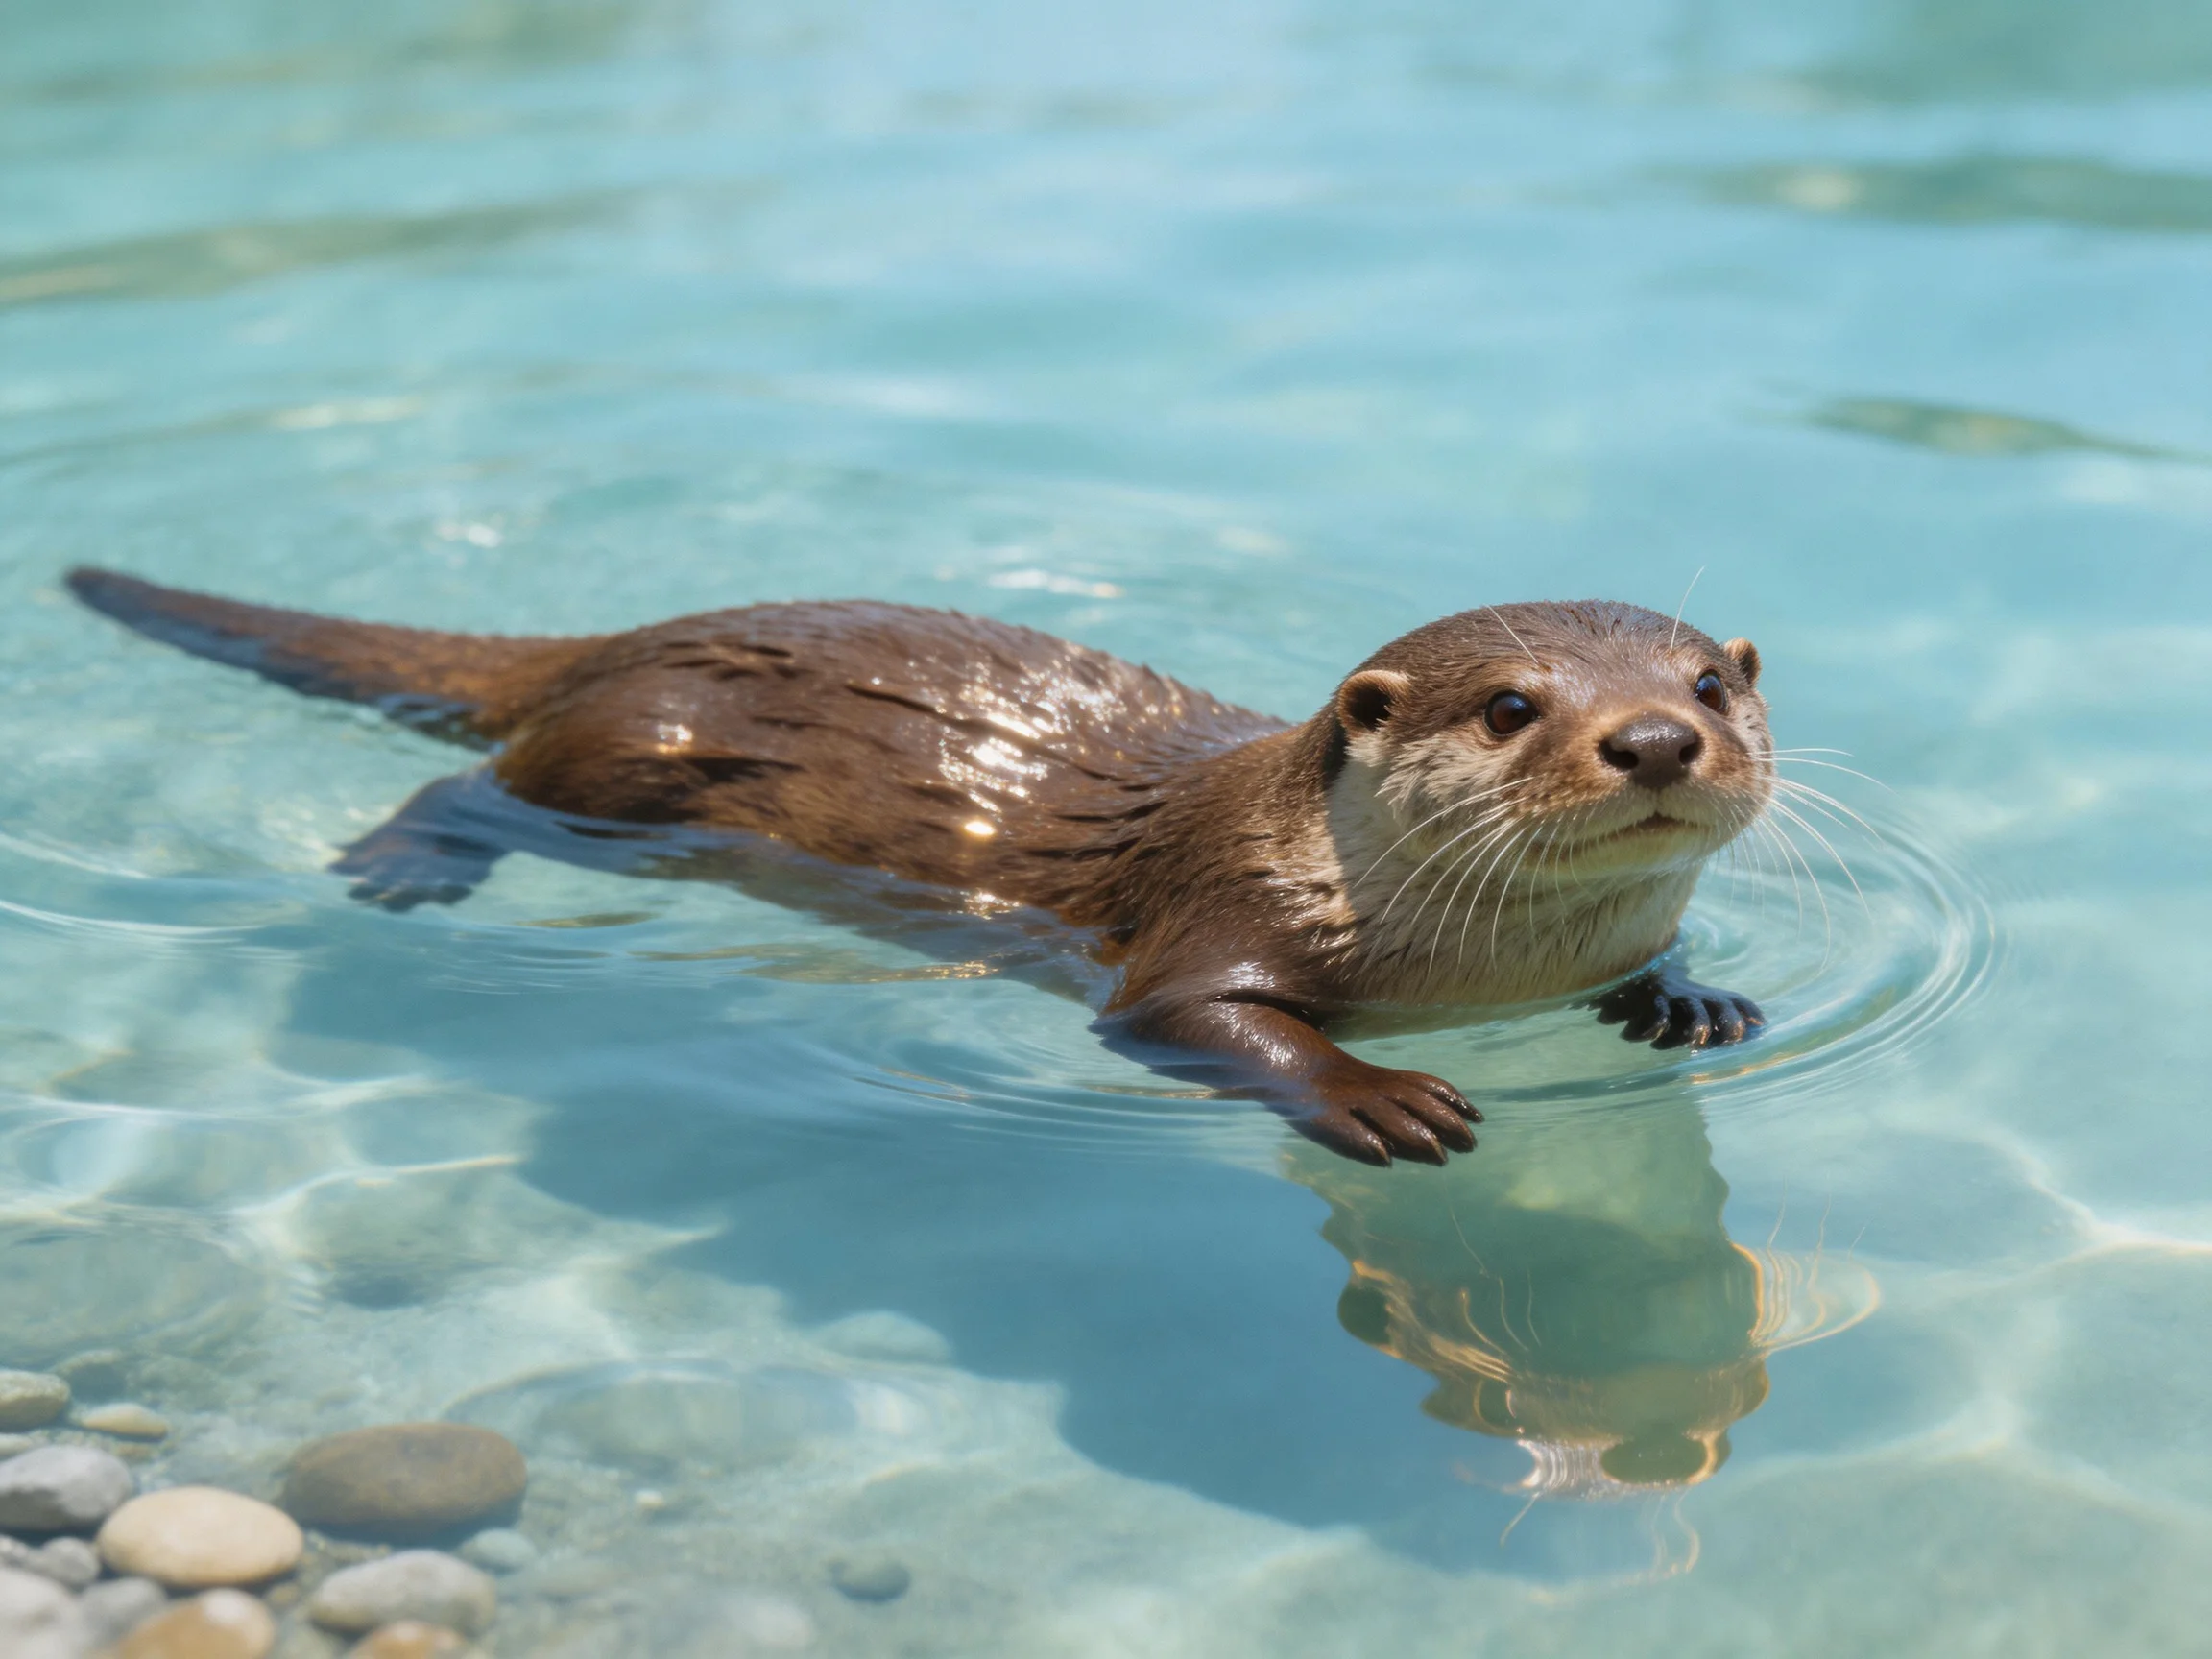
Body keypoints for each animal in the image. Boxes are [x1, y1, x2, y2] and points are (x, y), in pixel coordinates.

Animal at [65, 568, 1773, 1166]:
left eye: (1707, 681)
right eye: (1510, 709)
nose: (1655, 741)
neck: (1488, 969)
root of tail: (644, 632)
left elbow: (1653, 961)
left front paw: (1686, 1000)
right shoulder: (1209, 919)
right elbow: (1184, 1024)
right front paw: (1378, 1094)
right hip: (622, 759)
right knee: (476, 778)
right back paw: (407, 863)